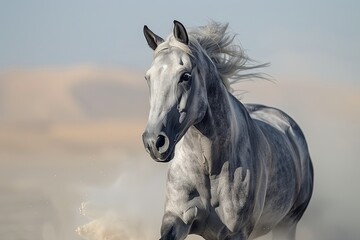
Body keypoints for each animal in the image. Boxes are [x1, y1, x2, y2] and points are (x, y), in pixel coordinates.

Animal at [142, 20, 314, 240]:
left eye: (185, 76)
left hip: (287, 224)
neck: (210, 166)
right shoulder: (177, 220)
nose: (154, 142)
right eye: (148, 78)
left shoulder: (235, 233)